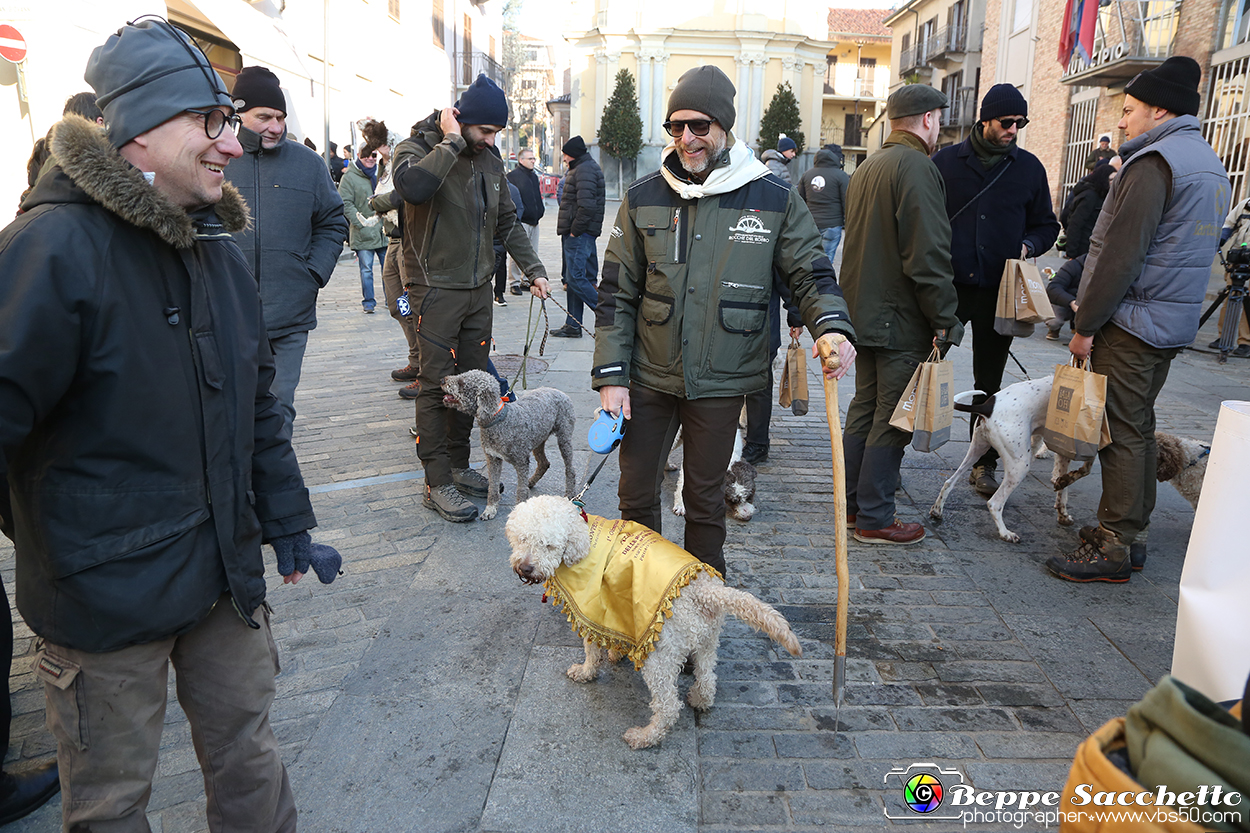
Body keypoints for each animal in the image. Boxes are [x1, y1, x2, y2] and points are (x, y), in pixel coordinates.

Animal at [505, 492, 800, 745]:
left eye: (549, 545)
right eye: (522, 539)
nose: (525, 568)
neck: (582, 536)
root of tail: (705, 590)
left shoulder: (591, 609)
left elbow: (591, 649)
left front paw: (586, 671)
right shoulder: (615, 606)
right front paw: (615, 654)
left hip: (660, 656)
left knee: (668, 706)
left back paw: (645, 736)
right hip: (706, 641)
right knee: (707, 678)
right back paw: (699, 699)